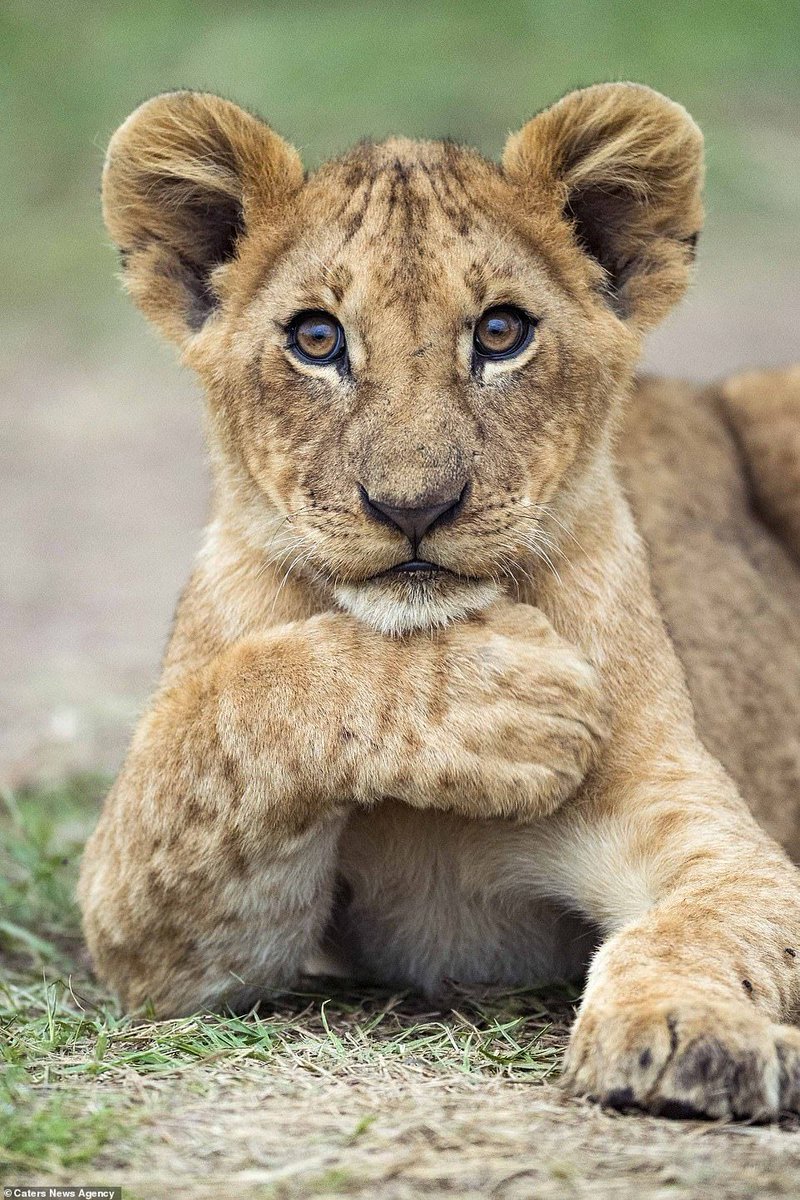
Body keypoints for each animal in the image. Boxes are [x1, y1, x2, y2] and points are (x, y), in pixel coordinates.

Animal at [78, 82, 800, 1121]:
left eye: (501, 333)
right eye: (317, 339)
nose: (413, 507)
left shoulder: (707, 830)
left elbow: (708, 924)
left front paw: (684, 1028)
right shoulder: (164, 938)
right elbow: (232, 713)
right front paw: (519, 703)